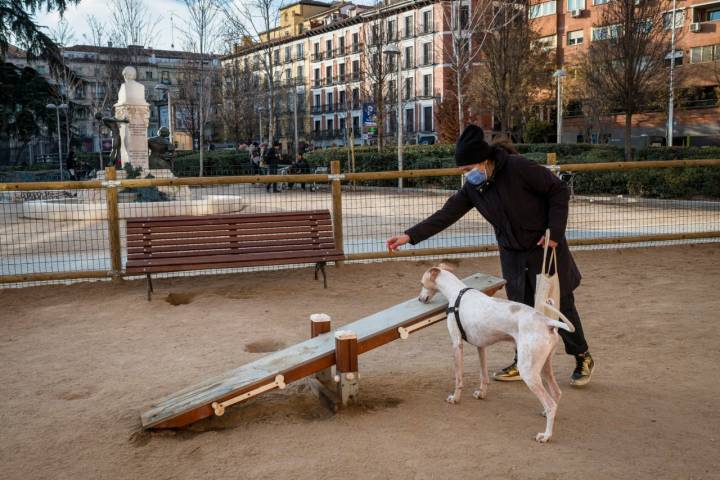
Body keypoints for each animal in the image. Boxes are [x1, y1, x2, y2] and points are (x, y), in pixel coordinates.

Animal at [420, 264, 576, 440]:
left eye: (421, 283)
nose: (420, 299)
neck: (457, 292)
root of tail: (547, 322)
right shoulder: (481, 346)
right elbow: (484, 376)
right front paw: (481, 394)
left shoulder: (456, 344)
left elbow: (458, 378)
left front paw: (455, 398)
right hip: (544, 368)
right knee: (556, 394)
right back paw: (545, 414)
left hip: (528, 372)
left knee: (551, 404)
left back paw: (546, 435)